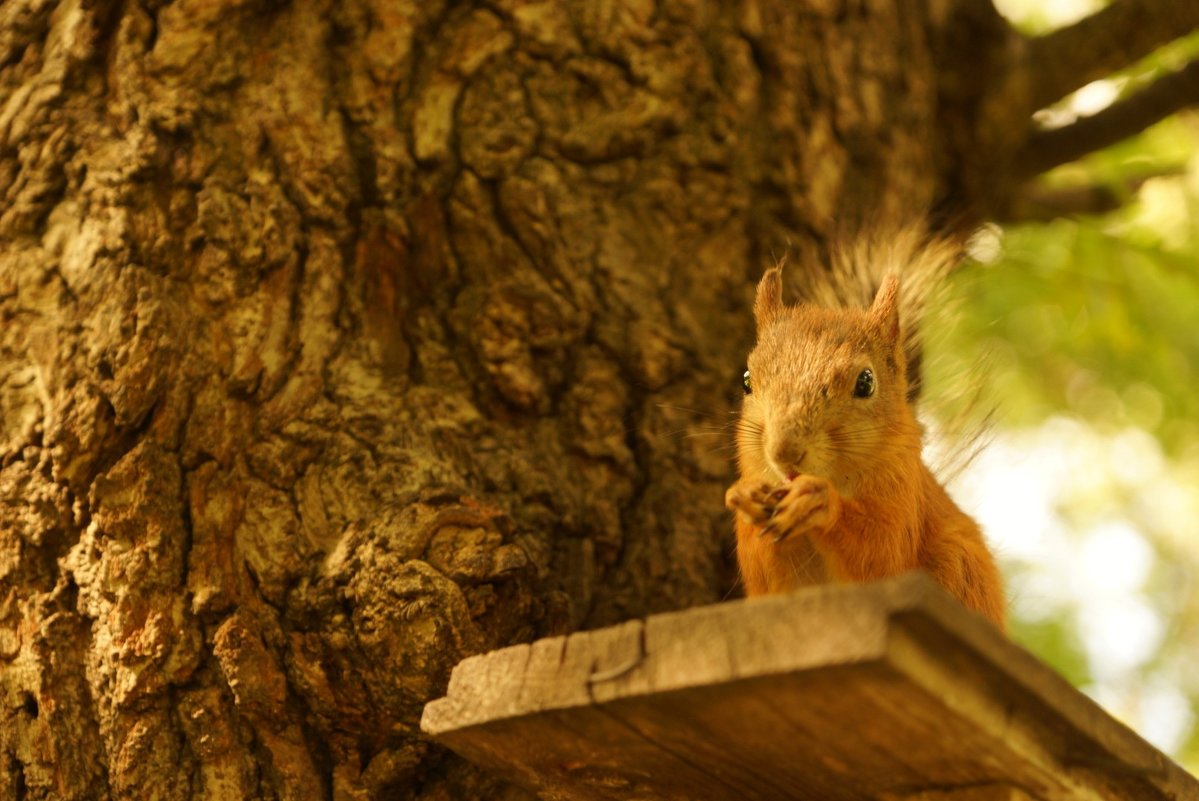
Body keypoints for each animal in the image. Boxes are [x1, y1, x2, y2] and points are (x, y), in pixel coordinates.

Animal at [724, 247, 1007, 628]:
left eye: (866, 382)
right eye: (746, 380)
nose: (785, 452)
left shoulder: (902, 496)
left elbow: (882, 557)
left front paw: (819, 502)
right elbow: (766, 581)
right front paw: (745, 496)